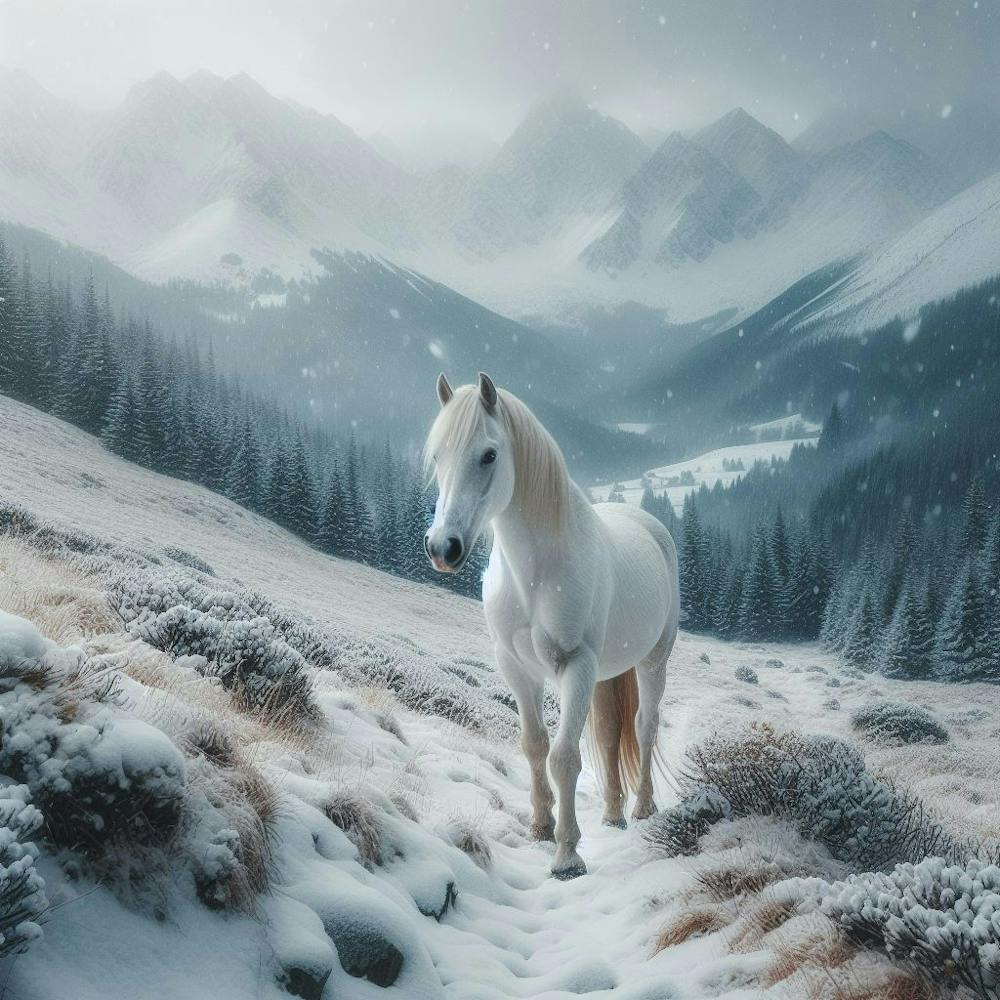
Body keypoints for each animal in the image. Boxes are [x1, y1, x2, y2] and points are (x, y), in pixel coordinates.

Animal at [423, 372, 679, 879]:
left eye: (489, 454)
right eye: (438, 455)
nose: (444, 547)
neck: (536, 575)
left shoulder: (575, 667)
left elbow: (564, 757)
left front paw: (567, 856)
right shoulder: (516, 667)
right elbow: (535, 745)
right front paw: (541, 827)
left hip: (652, 662)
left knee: (644, 726)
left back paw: (643, 808)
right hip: (607, 673)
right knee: (610, 733)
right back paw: (614, 814)